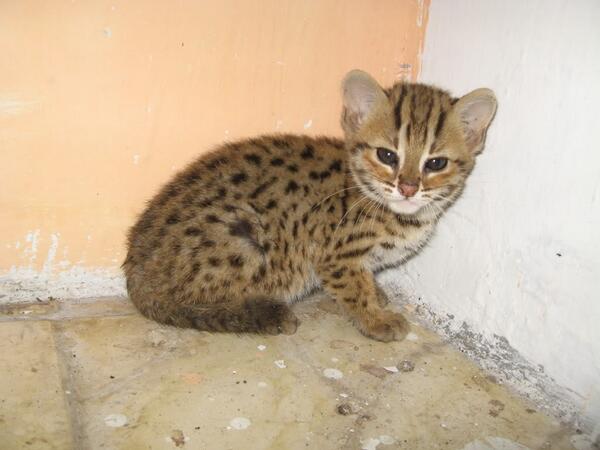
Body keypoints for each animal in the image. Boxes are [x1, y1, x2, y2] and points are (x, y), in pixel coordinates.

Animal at [123, 70, 497, 342]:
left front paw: (377, 293)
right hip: (244, 239)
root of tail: (136, 275)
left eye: (435, 163)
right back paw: (259, 312)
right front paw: (375, 318)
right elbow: (354, 289)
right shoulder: (334, 257)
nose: (407, 187)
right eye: (387, 156)